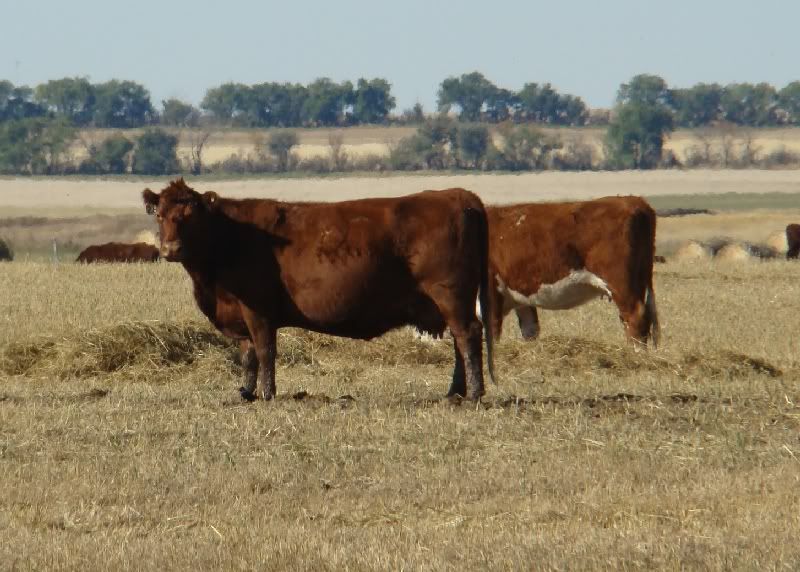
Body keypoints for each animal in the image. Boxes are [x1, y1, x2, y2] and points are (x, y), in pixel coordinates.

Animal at [143, 178, 494, 402]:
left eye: (190, 216)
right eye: (160, 215)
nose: (170, 249)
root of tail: (458, 195)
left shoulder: (258, 309)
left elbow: (265, 351)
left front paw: (268, 394)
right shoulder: (240, 314)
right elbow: (248, 355)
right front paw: (246, 393)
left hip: (451, 295)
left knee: (467, 335)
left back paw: (474, 393)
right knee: (459, 341)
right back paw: (455, 392)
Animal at [485, 196, 660, 347]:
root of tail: (634, 201)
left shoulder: (491, 291)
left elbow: (492, 331)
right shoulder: (522, 298)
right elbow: (530, 329)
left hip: (620, 283)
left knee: (635, 317)